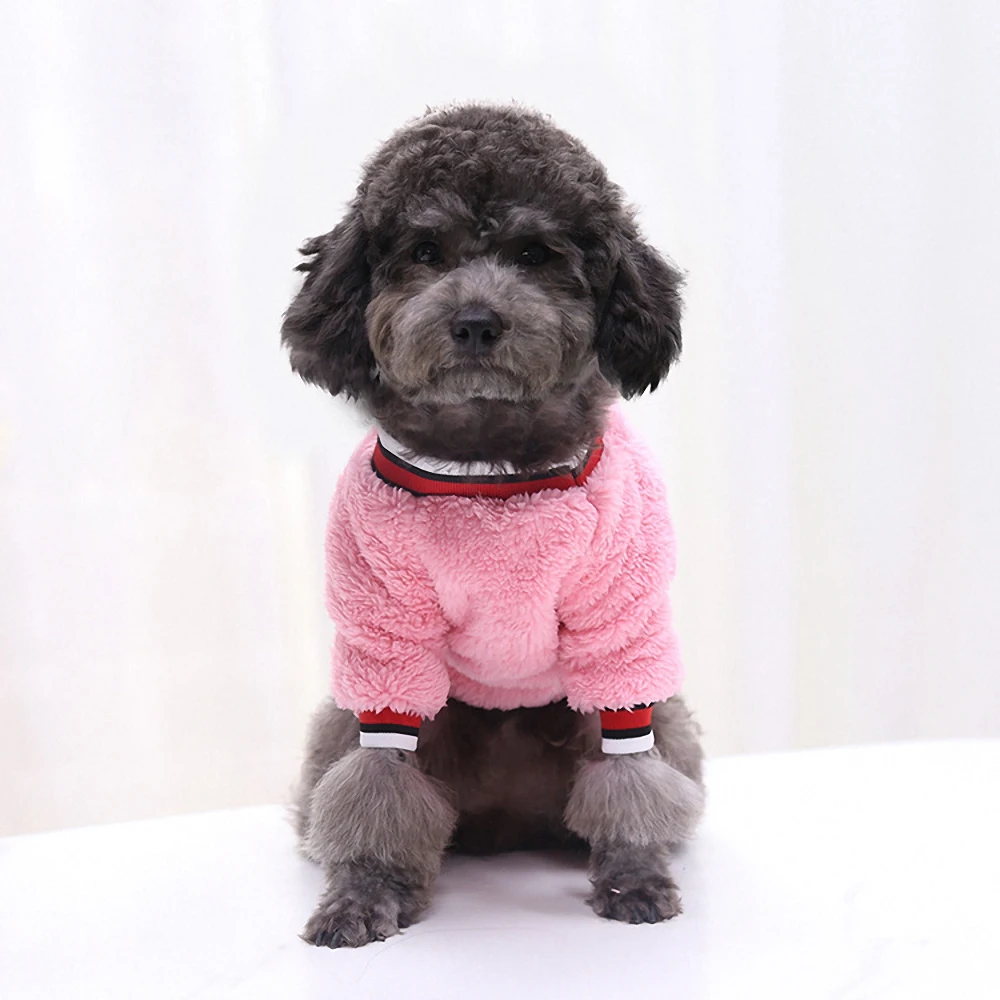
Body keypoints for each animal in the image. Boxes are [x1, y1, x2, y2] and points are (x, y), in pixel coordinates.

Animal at [282, 104, 705, 949]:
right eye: (424, 251)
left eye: (534, 254)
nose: (476, 322)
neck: (489, 464)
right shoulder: (386, 646)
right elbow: (378, 781)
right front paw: (363, 895)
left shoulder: (621, 632)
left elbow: (631, 772)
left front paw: (635, 878)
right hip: (346, 722)